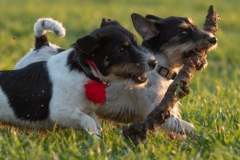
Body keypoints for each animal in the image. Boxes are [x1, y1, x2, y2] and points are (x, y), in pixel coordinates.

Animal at [0, 17, 156, 139]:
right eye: (121, 50)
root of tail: (41, 45)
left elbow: (96, 125)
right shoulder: (61, 111)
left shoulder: (88, 109)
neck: (84, 71)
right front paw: (96, 142)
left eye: (136, 43)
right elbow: (89, 122)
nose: (153, 63)